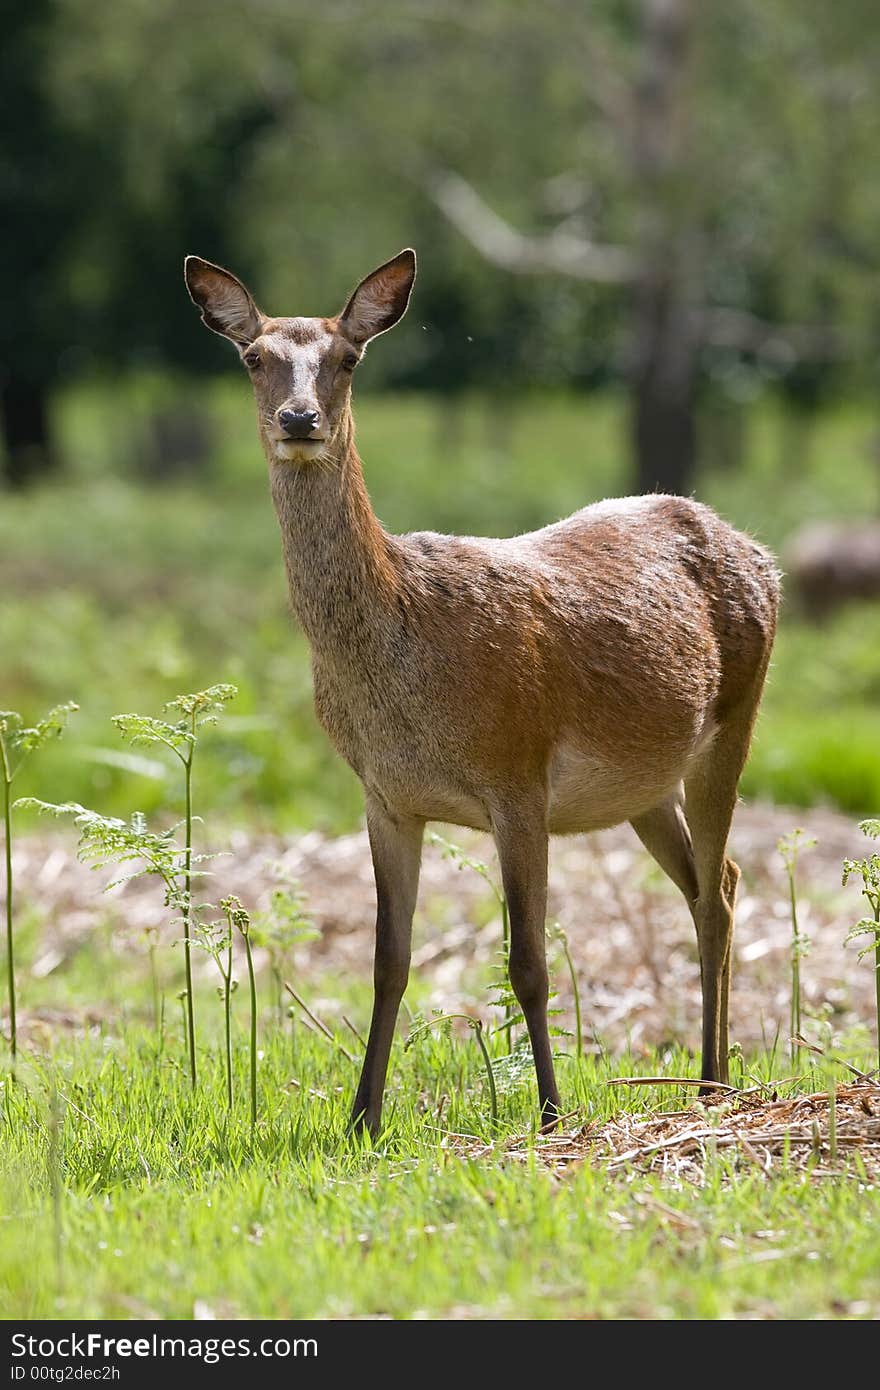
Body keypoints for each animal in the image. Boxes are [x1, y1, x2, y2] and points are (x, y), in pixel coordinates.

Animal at [183, 250, 772, 1134]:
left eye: (347, 359)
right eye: (254, 357)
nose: (298, 419)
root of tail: (762, 555)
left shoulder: (517, 775)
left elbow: (527, 960)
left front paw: (552, 1114)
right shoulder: (386, 795)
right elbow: (389, 958)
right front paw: (362, 1118)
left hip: (735, 718)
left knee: (715, 896)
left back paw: (711, 1085)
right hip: (645, 784)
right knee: (720, 880)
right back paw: (713, 1077)